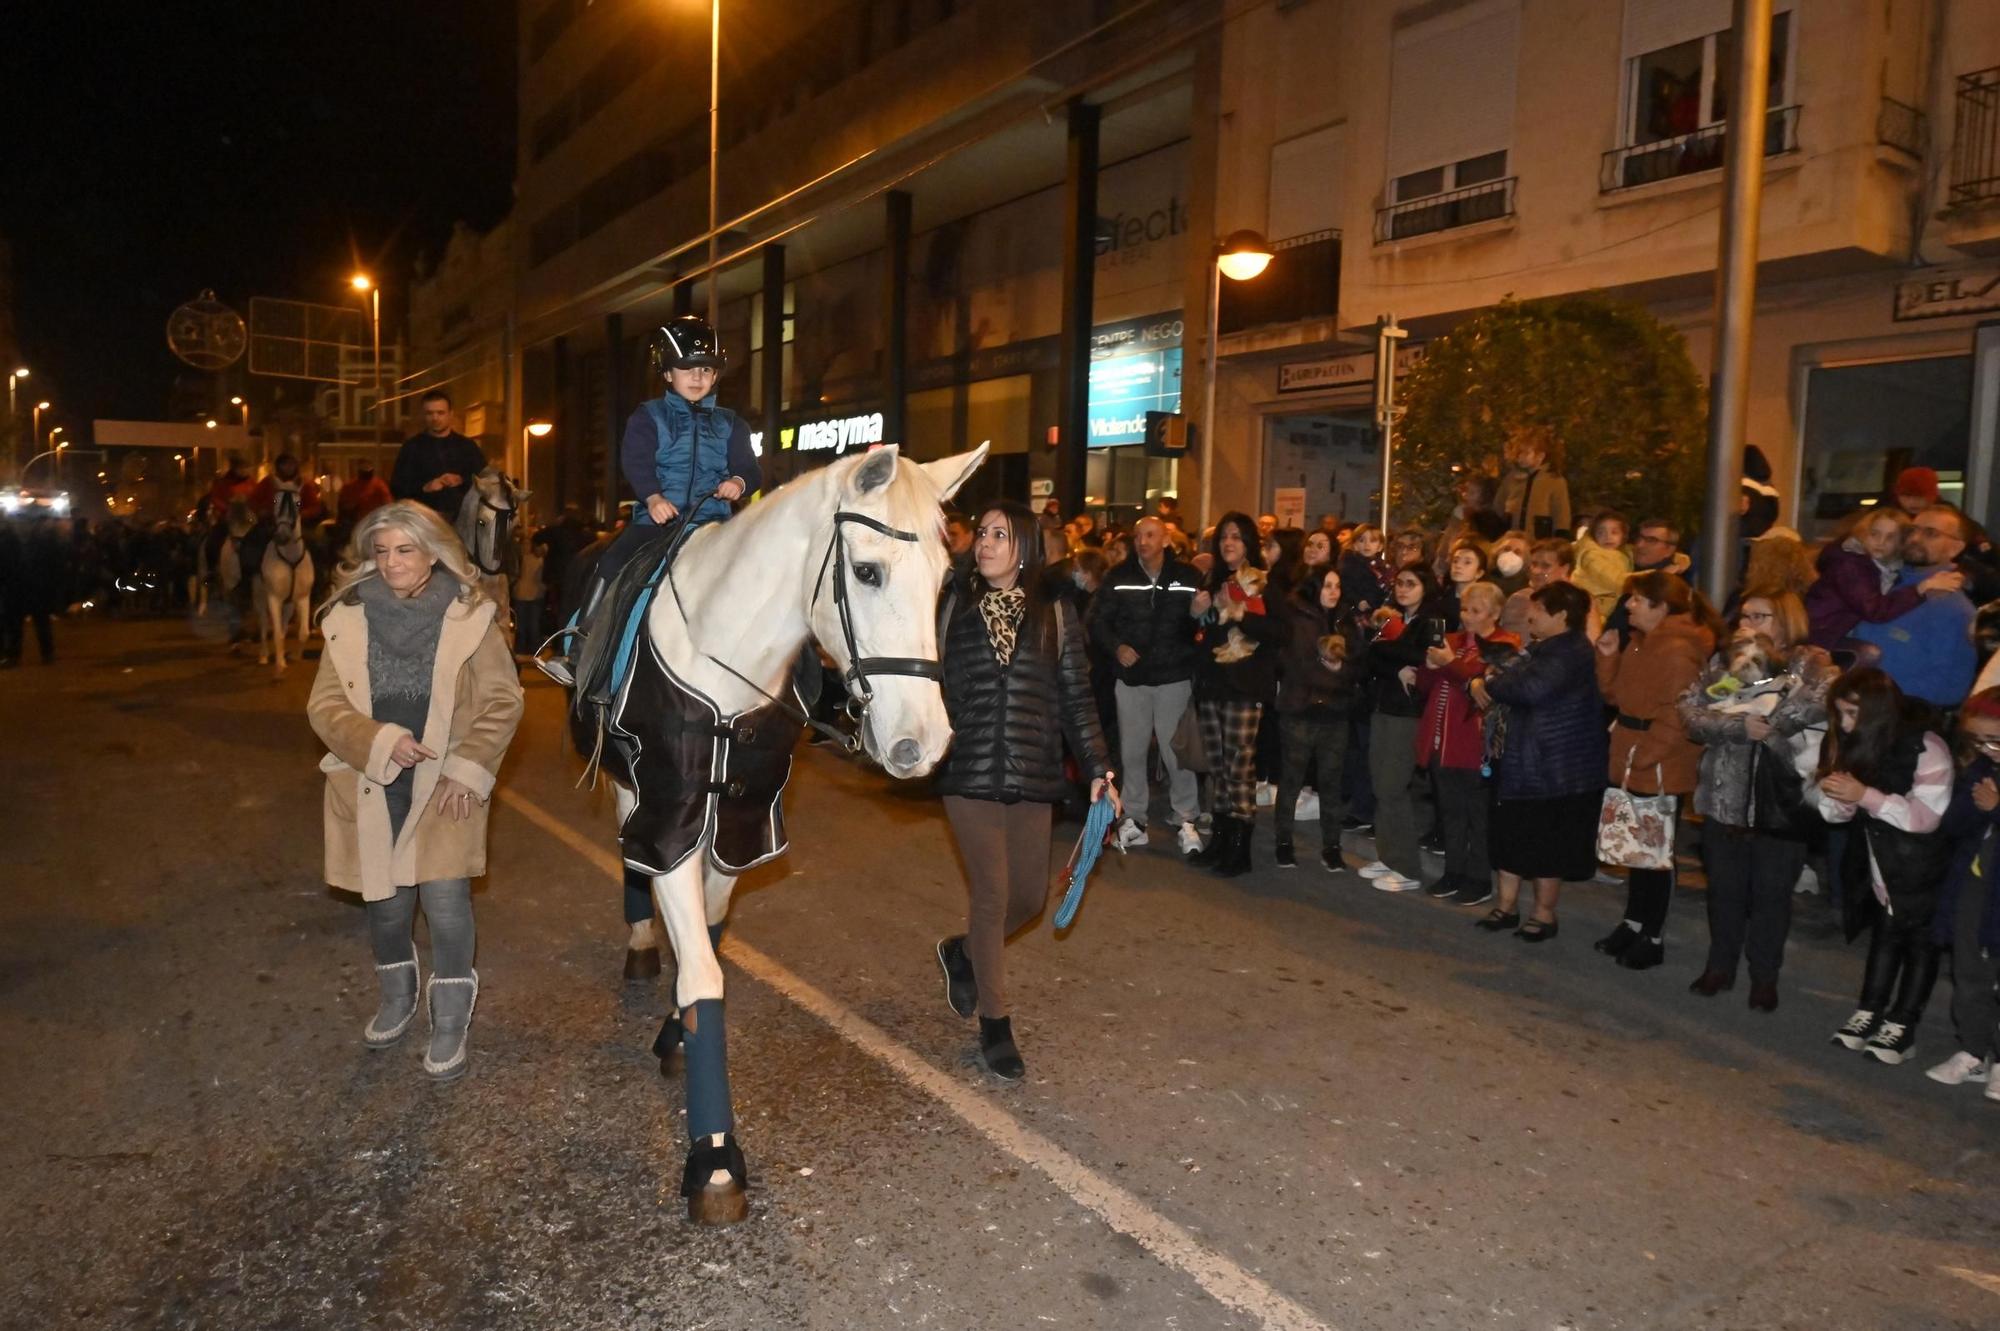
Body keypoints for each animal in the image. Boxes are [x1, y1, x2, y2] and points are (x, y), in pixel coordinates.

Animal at [260, 489, 318, 667]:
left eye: (298, 503)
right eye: (274, 501)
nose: (281, 536)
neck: (290, 557)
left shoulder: (303, 597)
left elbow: (304, 633)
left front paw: (295, 657)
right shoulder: (274, 598)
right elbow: (276, 633)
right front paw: (280, 666)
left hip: (289, 605)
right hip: (260, 598)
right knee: (263, 626)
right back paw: (264, 657)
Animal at [600, 439, 984, 1215]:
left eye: (944, 582)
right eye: (866, 572)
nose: (924, 743)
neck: (724, 659)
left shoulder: (739, 822)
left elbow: (711, 931)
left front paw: (678, 1034)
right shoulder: (672, 814)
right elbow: (703, 971)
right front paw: (714, 1155)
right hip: (630, 790)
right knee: (631, 859)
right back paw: (641, 939)